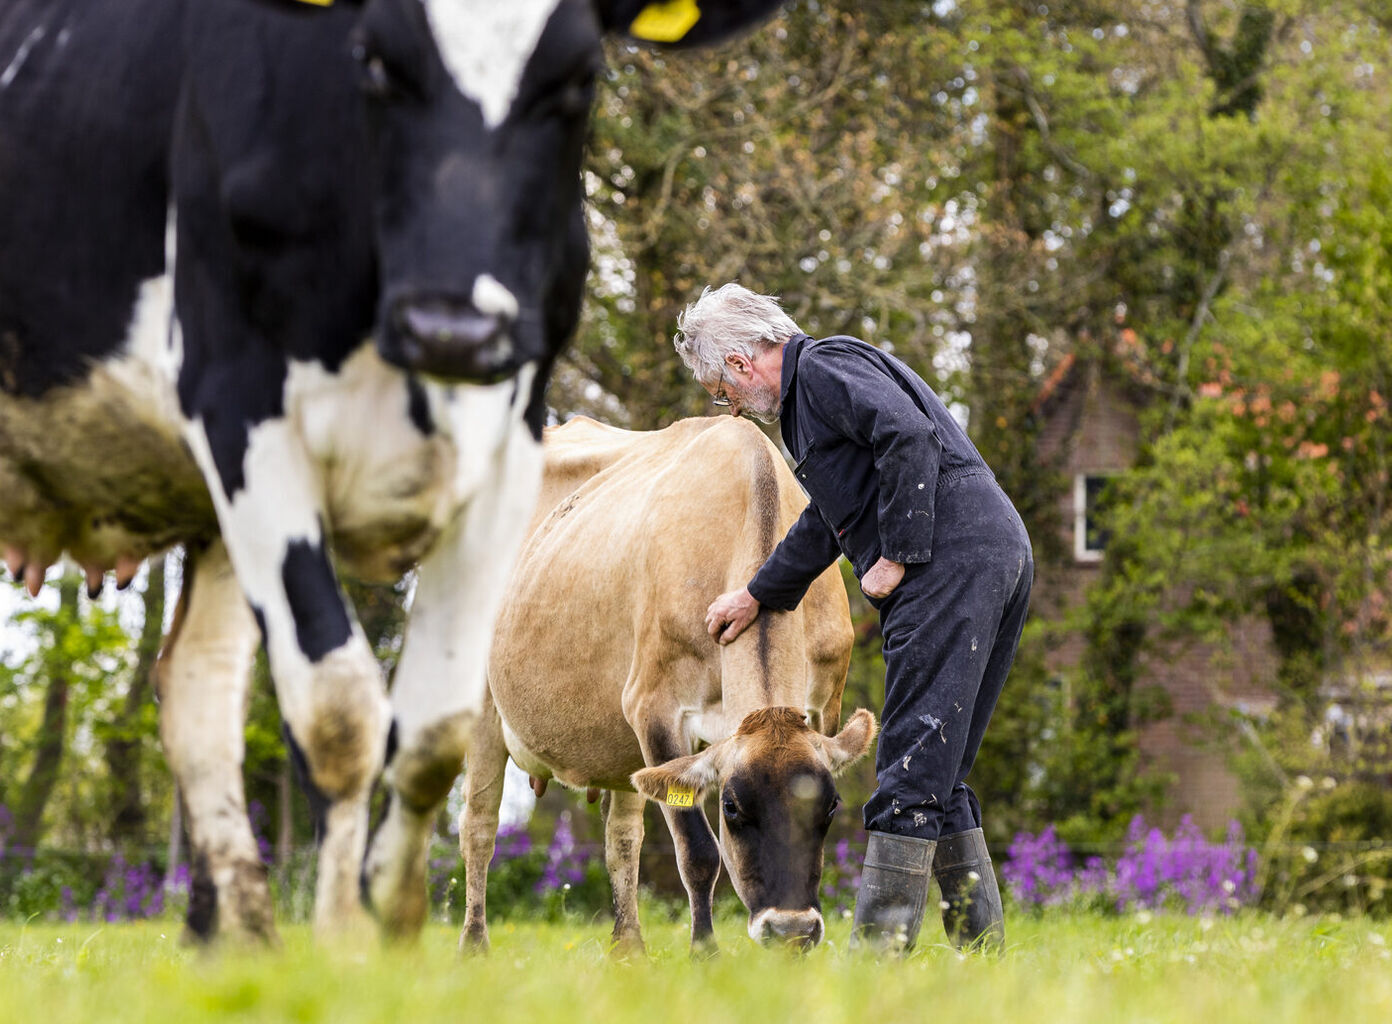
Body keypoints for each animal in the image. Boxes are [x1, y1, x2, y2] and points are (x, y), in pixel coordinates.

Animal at [0, 0, 785, 944]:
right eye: (373, 63)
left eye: (578, 79)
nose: (453, 326)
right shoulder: (245, 419)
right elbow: (342, 712)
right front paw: (350, 943)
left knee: (195, 685)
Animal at [458, 415, 874, 954]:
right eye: (731, 807)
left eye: (830, 805)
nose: (790, 929)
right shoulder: (655, 708)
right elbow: (697, 851)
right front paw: (705, 953)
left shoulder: (825, 703)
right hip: (481, 705)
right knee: (478, 827)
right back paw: (474, 944)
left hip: (619, 743)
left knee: (621, 836)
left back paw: (629, 949)